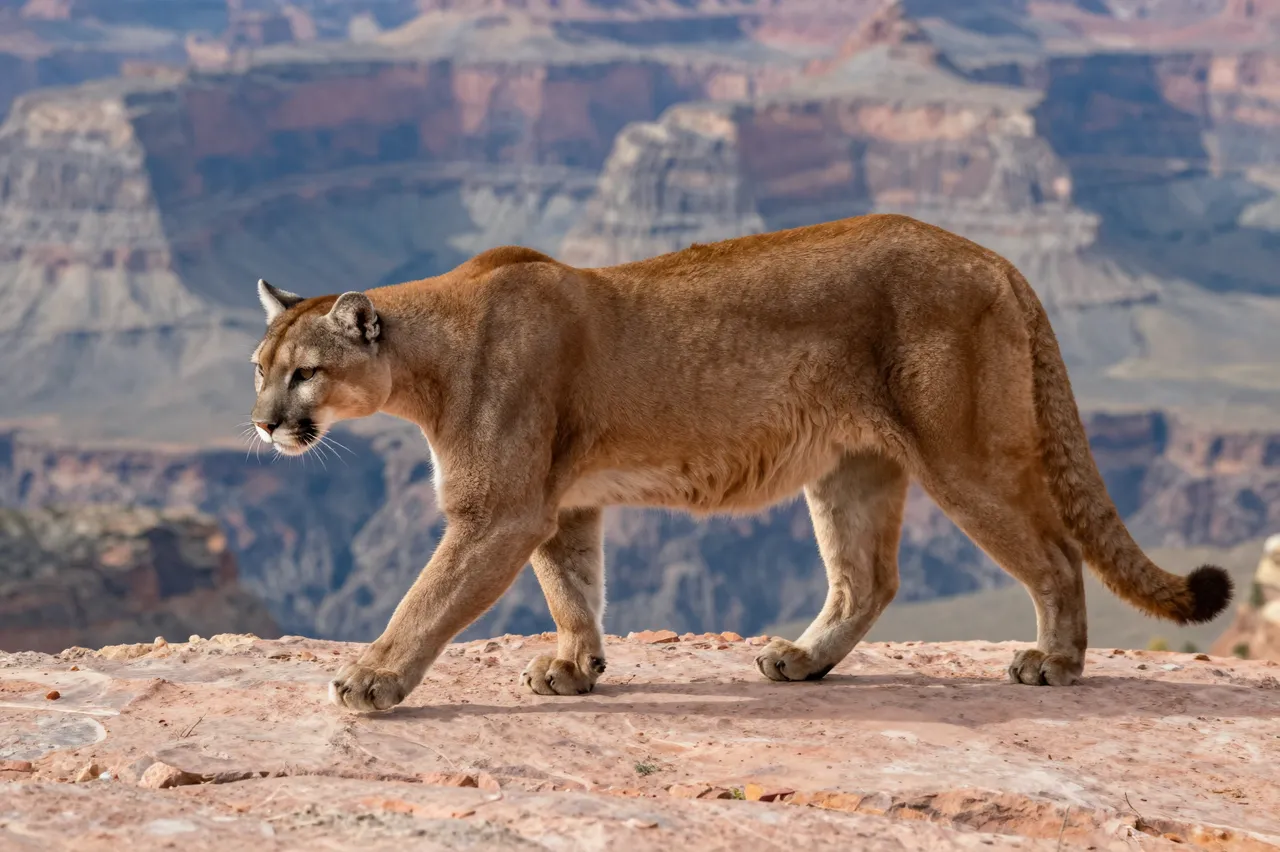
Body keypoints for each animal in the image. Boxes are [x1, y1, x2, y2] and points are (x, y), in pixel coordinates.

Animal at [248, 213, 1232, 712]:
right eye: (259, 368)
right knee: (867, 578)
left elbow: (428, 598)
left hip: (965, 453)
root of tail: (996, 257)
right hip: (852, 466)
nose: (262, 427)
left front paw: (371, 679)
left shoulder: (499, 510)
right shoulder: (560, 506)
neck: (429, 359)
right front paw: (575, 669)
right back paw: (801, 661)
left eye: (305, 373)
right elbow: (572, 588)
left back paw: (1053, 663)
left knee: (1056, 555)